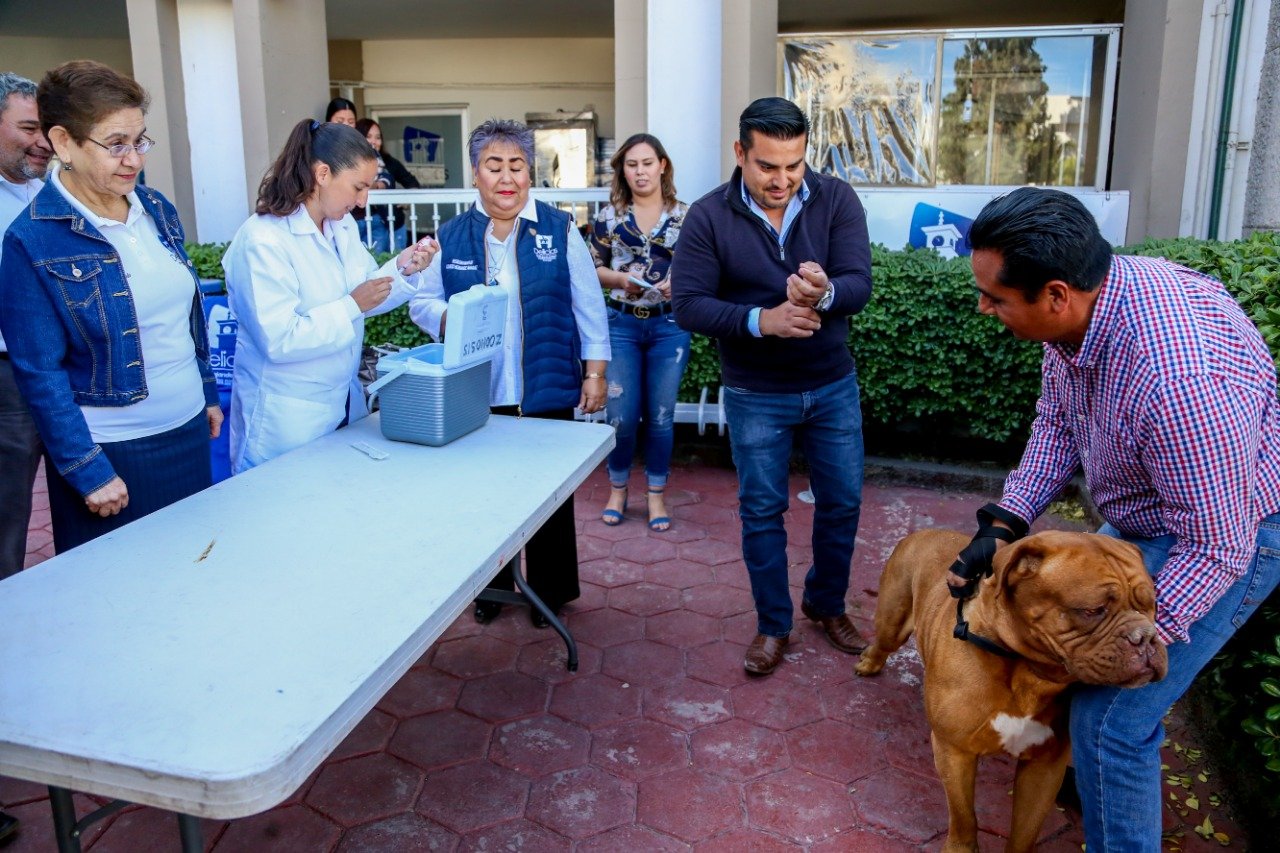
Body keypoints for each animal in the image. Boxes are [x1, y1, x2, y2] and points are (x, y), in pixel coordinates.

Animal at [855, 529, 1168, 852]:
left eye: (1153, 606)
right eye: (1093, 610)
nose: (1146, 637)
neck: (1028, 671)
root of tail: (925, 531)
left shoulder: (1044, 767)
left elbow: (1025, 831)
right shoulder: (954, 751)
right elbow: (964, 816)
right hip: (893, 618)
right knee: (884, 640)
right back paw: (869, 662)